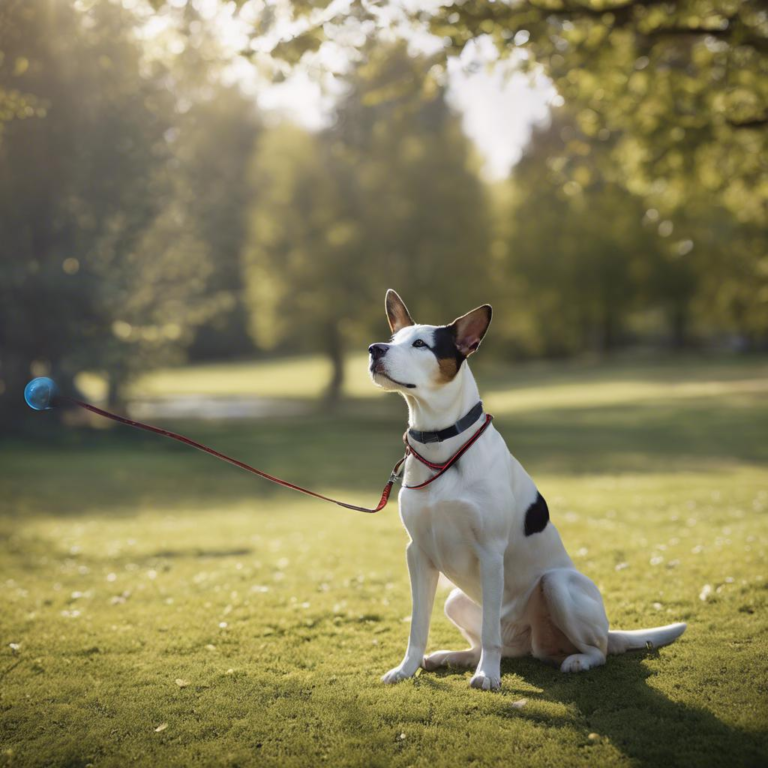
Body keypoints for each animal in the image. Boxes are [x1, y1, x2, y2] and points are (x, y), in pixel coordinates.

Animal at [368, 288, 688, 688]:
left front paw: (488, 676)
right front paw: (405, 669)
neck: (441, 447)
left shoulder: (490, 552)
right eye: (393, 338)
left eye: (420, 344)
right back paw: (453, 656)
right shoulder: (418, 553)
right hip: (456, 600)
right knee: (499, 642)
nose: (374, 349)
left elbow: (489, 635)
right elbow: (417, 627)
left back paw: (576, 660)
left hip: (558, 584)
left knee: (592, 649)